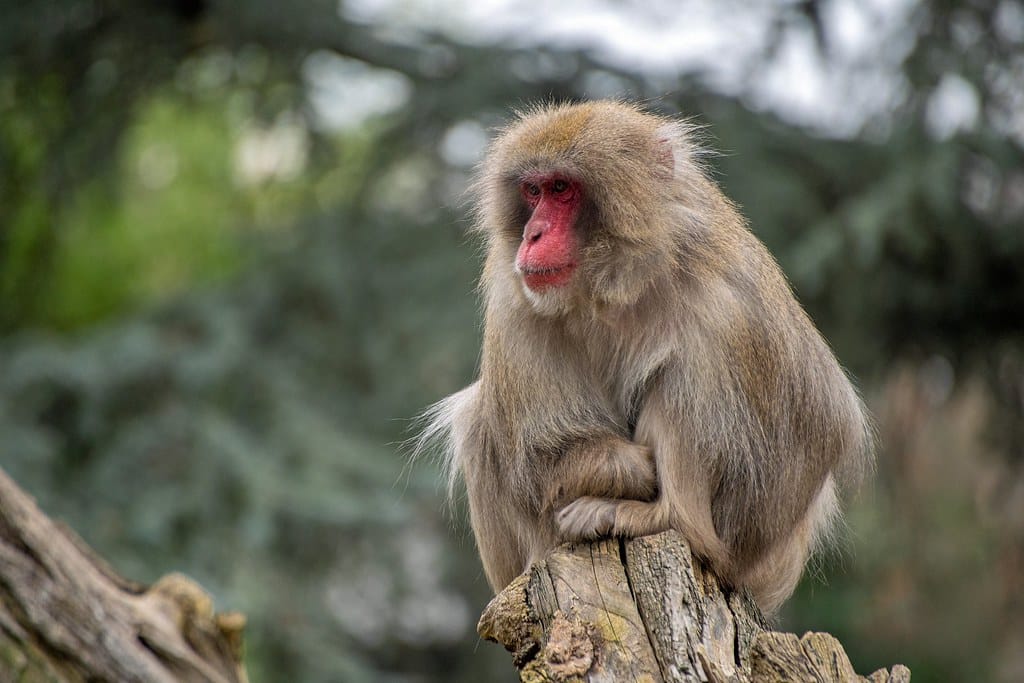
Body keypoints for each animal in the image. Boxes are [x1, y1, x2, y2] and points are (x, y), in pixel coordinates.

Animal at [419, 100, 872, 613]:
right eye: (532, 191)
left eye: (561, 188)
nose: (532, 234)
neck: (614, 287)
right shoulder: (515, 305)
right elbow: (542, 453)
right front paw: (635, 469)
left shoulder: (732, 295)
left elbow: (823, 419)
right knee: (481, 422)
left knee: (682, 383)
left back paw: (664, 518)